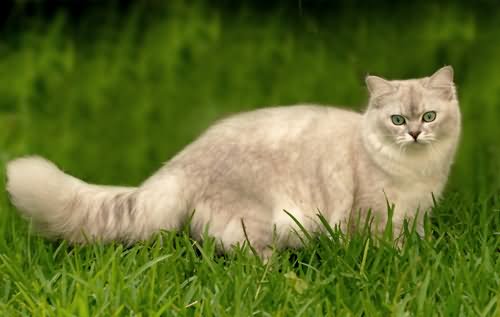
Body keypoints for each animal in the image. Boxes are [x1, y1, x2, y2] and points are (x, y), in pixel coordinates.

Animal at [4, 66, 460, 256]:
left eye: (429, 117)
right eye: (397, 120)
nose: (414, 134)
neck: (418, 169)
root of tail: (181, 162)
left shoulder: (416, 215)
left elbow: (417, 243)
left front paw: (422, 259)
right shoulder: (374, 216)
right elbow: (384, 251)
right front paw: (401, 265)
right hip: (258, 224)